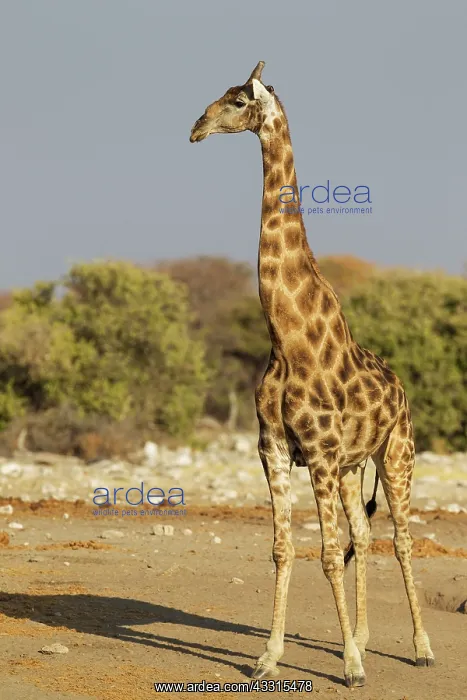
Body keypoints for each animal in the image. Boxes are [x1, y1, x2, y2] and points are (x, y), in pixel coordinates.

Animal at [189, 61, 434, 688]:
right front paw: (267, 657)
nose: (196, 127)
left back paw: (419, 648)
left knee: (401, 539)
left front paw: (349, 667)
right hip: (352, 468)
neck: (286, 339)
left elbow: (324, 552)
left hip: (395, 454)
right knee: (364, 536)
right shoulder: (274, 448)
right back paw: (366, 638)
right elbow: (284, 549)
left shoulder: (319, 452)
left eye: (237, 100)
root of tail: (402, 388)